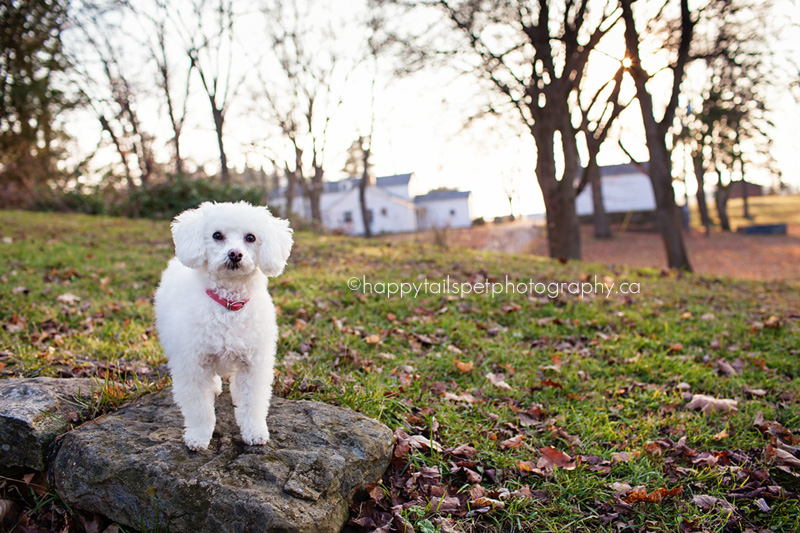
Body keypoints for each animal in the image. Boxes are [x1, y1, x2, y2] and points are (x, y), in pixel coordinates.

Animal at [153, 200, 294, 448]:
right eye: (217, 235)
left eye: (250, 237)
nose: (235, 254)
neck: (229, 305)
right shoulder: (193, 364)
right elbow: (199, 408)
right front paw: (199, 436)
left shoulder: (254, 364)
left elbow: (252, 403)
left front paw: (254, 431)